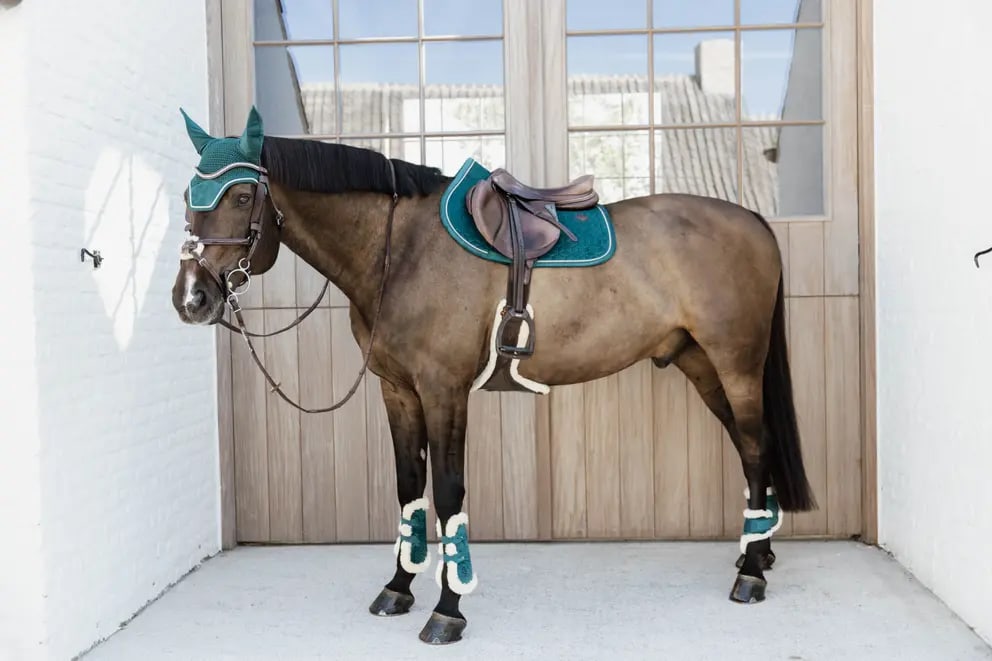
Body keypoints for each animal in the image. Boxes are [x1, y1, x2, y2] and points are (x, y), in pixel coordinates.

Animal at [171, 106, 815, 645]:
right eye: (188, 195)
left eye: (241, 195)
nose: (191, 298)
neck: (399, 252)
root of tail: (751, 219)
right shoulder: (397, 390)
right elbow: (409, 489)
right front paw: (398, 589)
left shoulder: (444, 391)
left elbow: (448, 492)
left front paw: (447, 610)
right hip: (700, 364)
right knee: (747, 448)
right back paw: (754, 554)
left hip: (736, 363)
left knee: (755, 446)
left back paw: (751, 575)